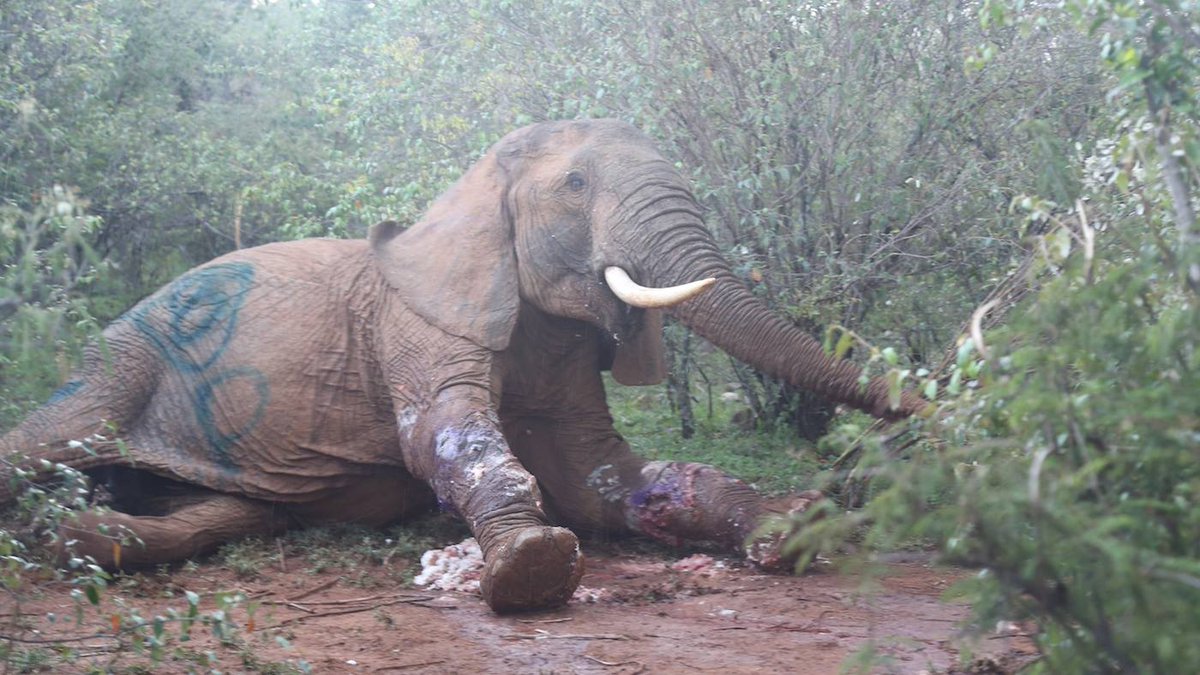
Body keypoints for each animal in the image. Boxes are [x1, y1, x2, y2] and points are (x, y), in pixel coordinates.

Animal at [0, 119, 925, 613]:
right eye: (576, 185)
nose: (927, 406)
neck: (475, 185)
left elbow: (599, 473)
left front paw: (795, 528)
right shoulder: (418, 321)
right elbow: (446, 434)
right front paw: (533, 567)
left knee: (221, 515)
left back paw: (79, 531)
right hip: (119, 361)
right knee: (49, 438)